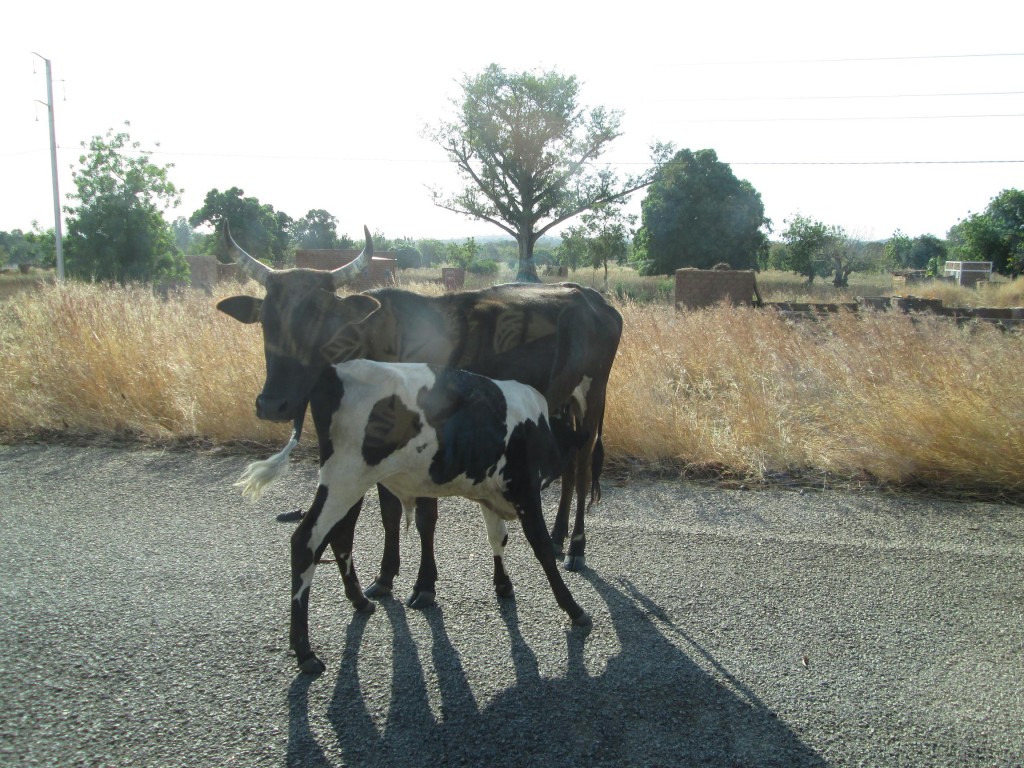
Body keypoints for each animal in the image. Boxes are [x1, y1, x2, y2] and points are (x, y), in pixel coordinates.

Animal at [218, 222, 622, 606]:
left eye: (319, 316)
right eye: (265, 318)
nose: (273, 404)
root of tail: (593, 298)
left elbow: (427, 516)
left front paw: (425, 584)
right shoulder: (380, 445)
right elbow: (389, 513)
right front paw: (384, 577)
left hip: (594, 393)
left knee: (583, 465)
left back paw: (576, 546)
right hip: (563, 399)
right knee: (570, 464)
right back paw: (557, 535)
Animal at [234, 360, 593, 671]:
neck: (540, 424)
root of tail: (332, 371)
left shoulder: (488, 490)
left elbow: (497, 537)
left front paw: (503, 585)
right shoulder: (524, 490)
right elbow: (542, 548)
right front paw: (573, 608)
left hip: (349, 483)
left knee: (340, 536)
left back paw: (360, 602)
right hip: (344, 479)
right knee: (306, 541)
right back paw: (305, 651)